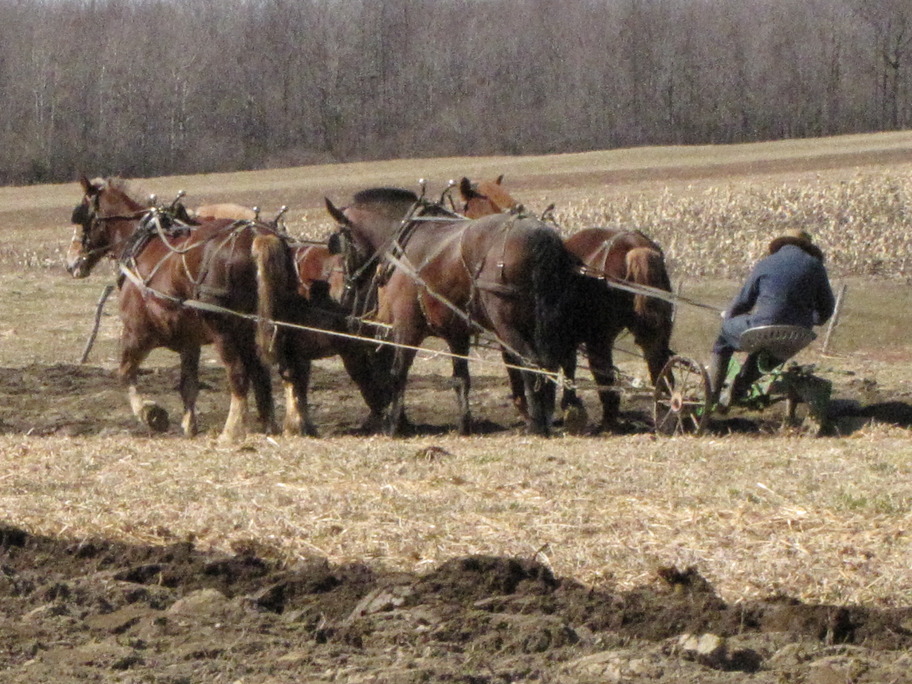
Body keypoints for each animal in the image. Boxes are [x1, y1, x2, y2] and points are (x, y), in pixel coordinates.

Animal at [324, 187, 580, 436]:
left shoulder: (407, 327)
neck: (404, 240)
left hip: (507, 324)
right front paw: (464, 425)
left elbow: (398, 373)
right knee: (552, 362)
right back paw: (547, 415)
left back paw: (537, 424)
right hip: (547, 323)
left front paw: (393, 426)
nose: (336, 292)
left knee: (530, 363)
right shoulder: (456, 332)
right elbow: (461, 378)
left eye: (339, 241)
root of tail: (541, 239)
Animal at [460, 176, 672, 432]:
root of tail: (634, 247)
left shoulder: (512, 331)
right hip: (655, 330)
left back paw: (609, 422)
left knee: (605, 377)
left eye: (465, 207)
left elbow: (521, 365)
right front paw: (569, 406)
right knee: (660, 366)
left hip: (598, 338)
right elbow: (565, 364)